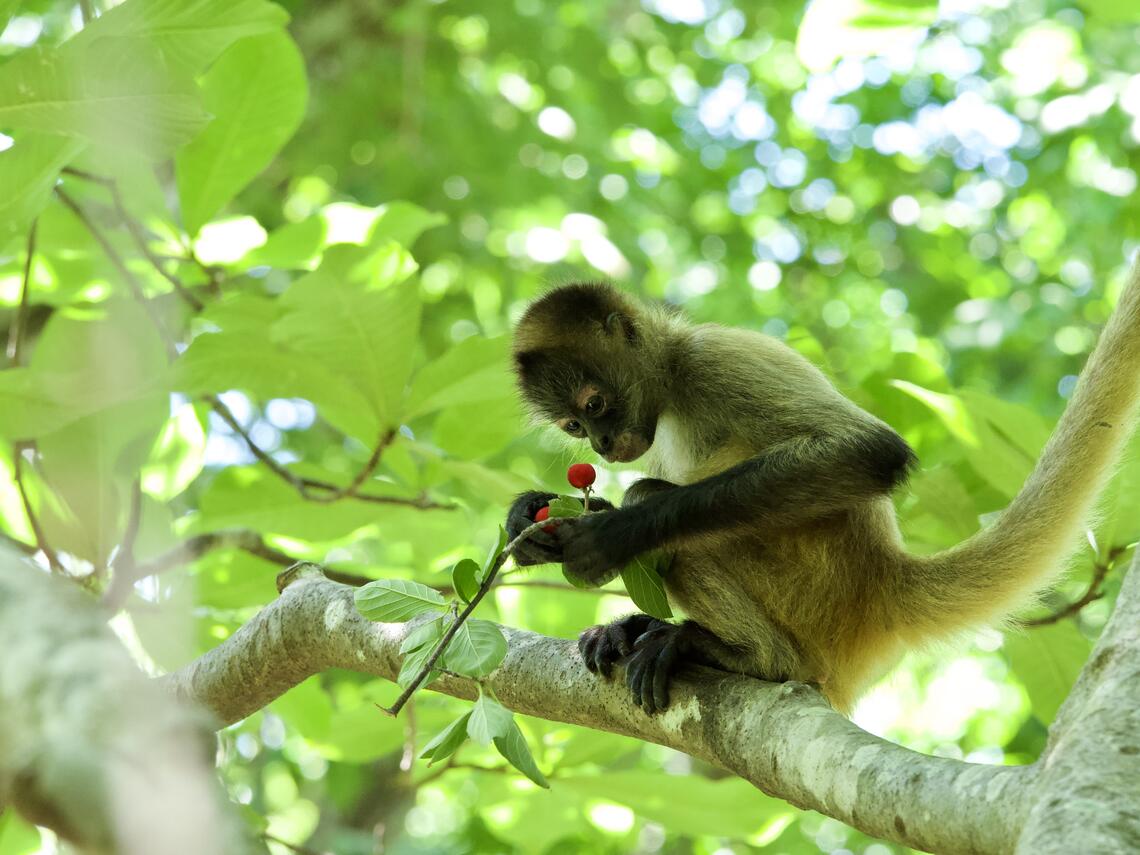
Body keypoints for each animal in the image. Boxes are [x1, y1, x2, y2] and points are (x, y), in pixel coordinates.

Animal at [503, 263, 1140, 715]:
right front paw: (530, 521)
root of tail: (882, 579)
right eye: (575, 426)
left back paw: (749, 656)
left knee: (655, 499)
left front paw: (610, 534)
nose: (604, 444)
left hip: (814, 584)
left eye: (594, 404)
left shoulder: (715, 359)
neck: (674, 379)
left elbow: (870, 452)